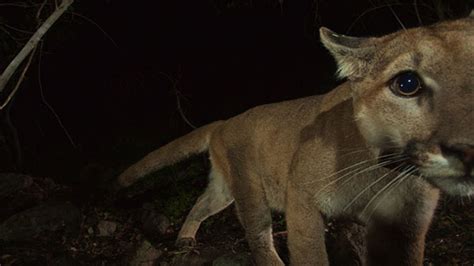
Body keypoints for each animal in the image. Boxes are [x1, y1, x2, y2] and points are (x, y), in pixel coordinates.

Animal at [117, 14, 474, 266]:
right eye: (407, 84)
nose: (468, 149)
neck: (386, 173)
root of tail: (226, 121)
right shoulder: (301, 196)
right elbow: (310, 256)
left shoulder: (405, 226)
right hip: (249, 188)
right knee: (258, 234)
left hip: (223, 188)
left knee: (203, 202)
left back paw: (184, 239)